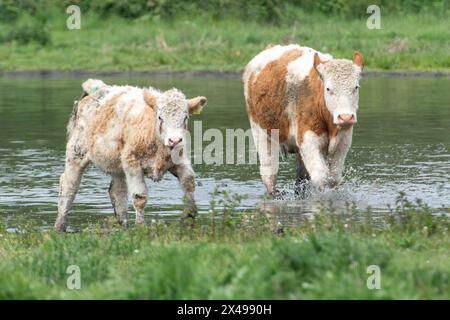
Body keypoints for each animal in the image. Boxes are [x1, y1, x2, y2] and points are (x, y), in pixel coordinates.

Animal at [55, 79, 207, 231]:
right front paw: (140, 227)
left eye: (185, 117)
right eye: (160, 117)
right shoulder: (132, 163)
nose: (174, 140)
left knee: (117, 192)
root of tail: (98, 88)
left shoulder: (180, 160)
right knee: (69, 186)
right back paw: (60, 226)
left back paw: (125, 226)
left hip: (117, 165)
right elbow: (140, 197)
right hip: (76, 152)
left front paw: (190, 216)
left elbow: (189, 182)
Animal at [244, 44, 364, 195]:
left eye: (356, 87)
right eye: (328, 89)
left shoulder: (343, 141)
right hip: (261, 132)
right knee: (269, 173)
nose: (346, 117)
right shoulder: (308, 140)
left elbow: (334, 178)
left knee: (300, 179)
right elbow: (320, 175)